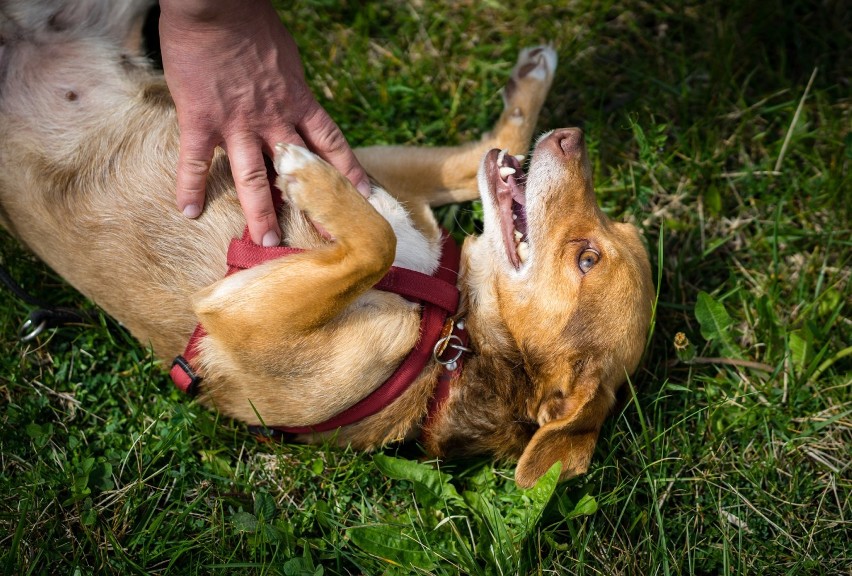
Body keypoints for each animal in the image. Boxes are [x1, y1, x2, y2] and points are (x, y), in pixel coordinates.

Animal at [0, 0, 652, 486]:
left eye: (587, 258)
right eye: (615, 230)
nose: (572, 138)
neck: (450, 328)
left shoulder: (243, 316)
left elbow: (375, 240)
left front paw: (305, 177)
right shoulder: (375, 172)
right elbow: (472, 163)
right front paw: (530, 86)